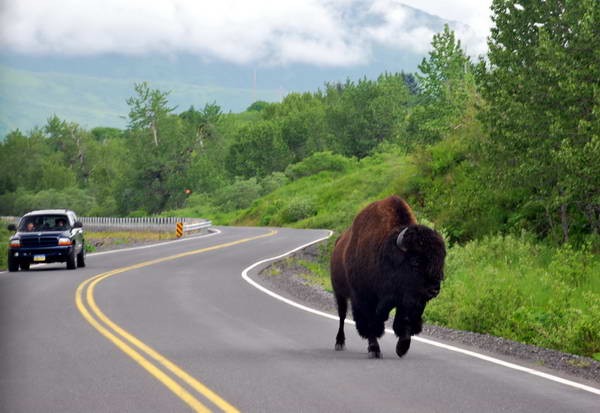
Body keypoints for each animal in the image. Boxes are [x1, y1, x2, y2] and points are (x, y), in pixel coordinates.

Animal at [330, 195, 448, 356]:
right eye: (415, 262)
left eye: (440, 262)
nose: (434, 289)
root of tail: (337, 243)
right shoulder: (365, 299)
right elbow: (371, 323)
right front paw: (374, 349)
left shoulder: (408, 301)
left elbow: (405, 321)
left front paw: (402, 348)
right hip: (339, 293)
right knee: (342, 316)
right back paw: (339, 343)